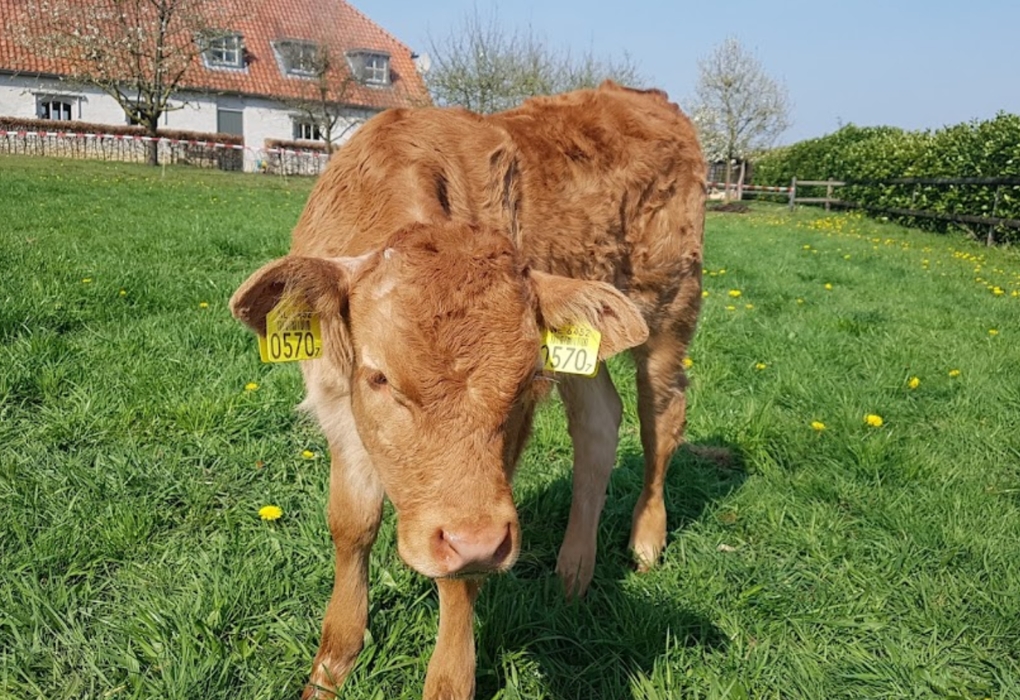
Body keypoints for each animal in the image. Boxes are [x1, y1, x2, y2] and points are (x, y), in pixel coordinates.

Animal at [230, 81, 705, 699]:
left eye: (526, 379)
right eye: (379, 377)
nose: (475, 540)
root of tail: (645, 96)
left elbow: (460, 580)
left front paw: (449, 679)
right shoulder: (337, 406)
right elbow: (351, 526)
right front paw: (331, 668)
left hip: (670, 304)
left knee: (662, 419)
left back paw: (646, 539)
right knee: (599, 421)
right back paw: (573, 573)